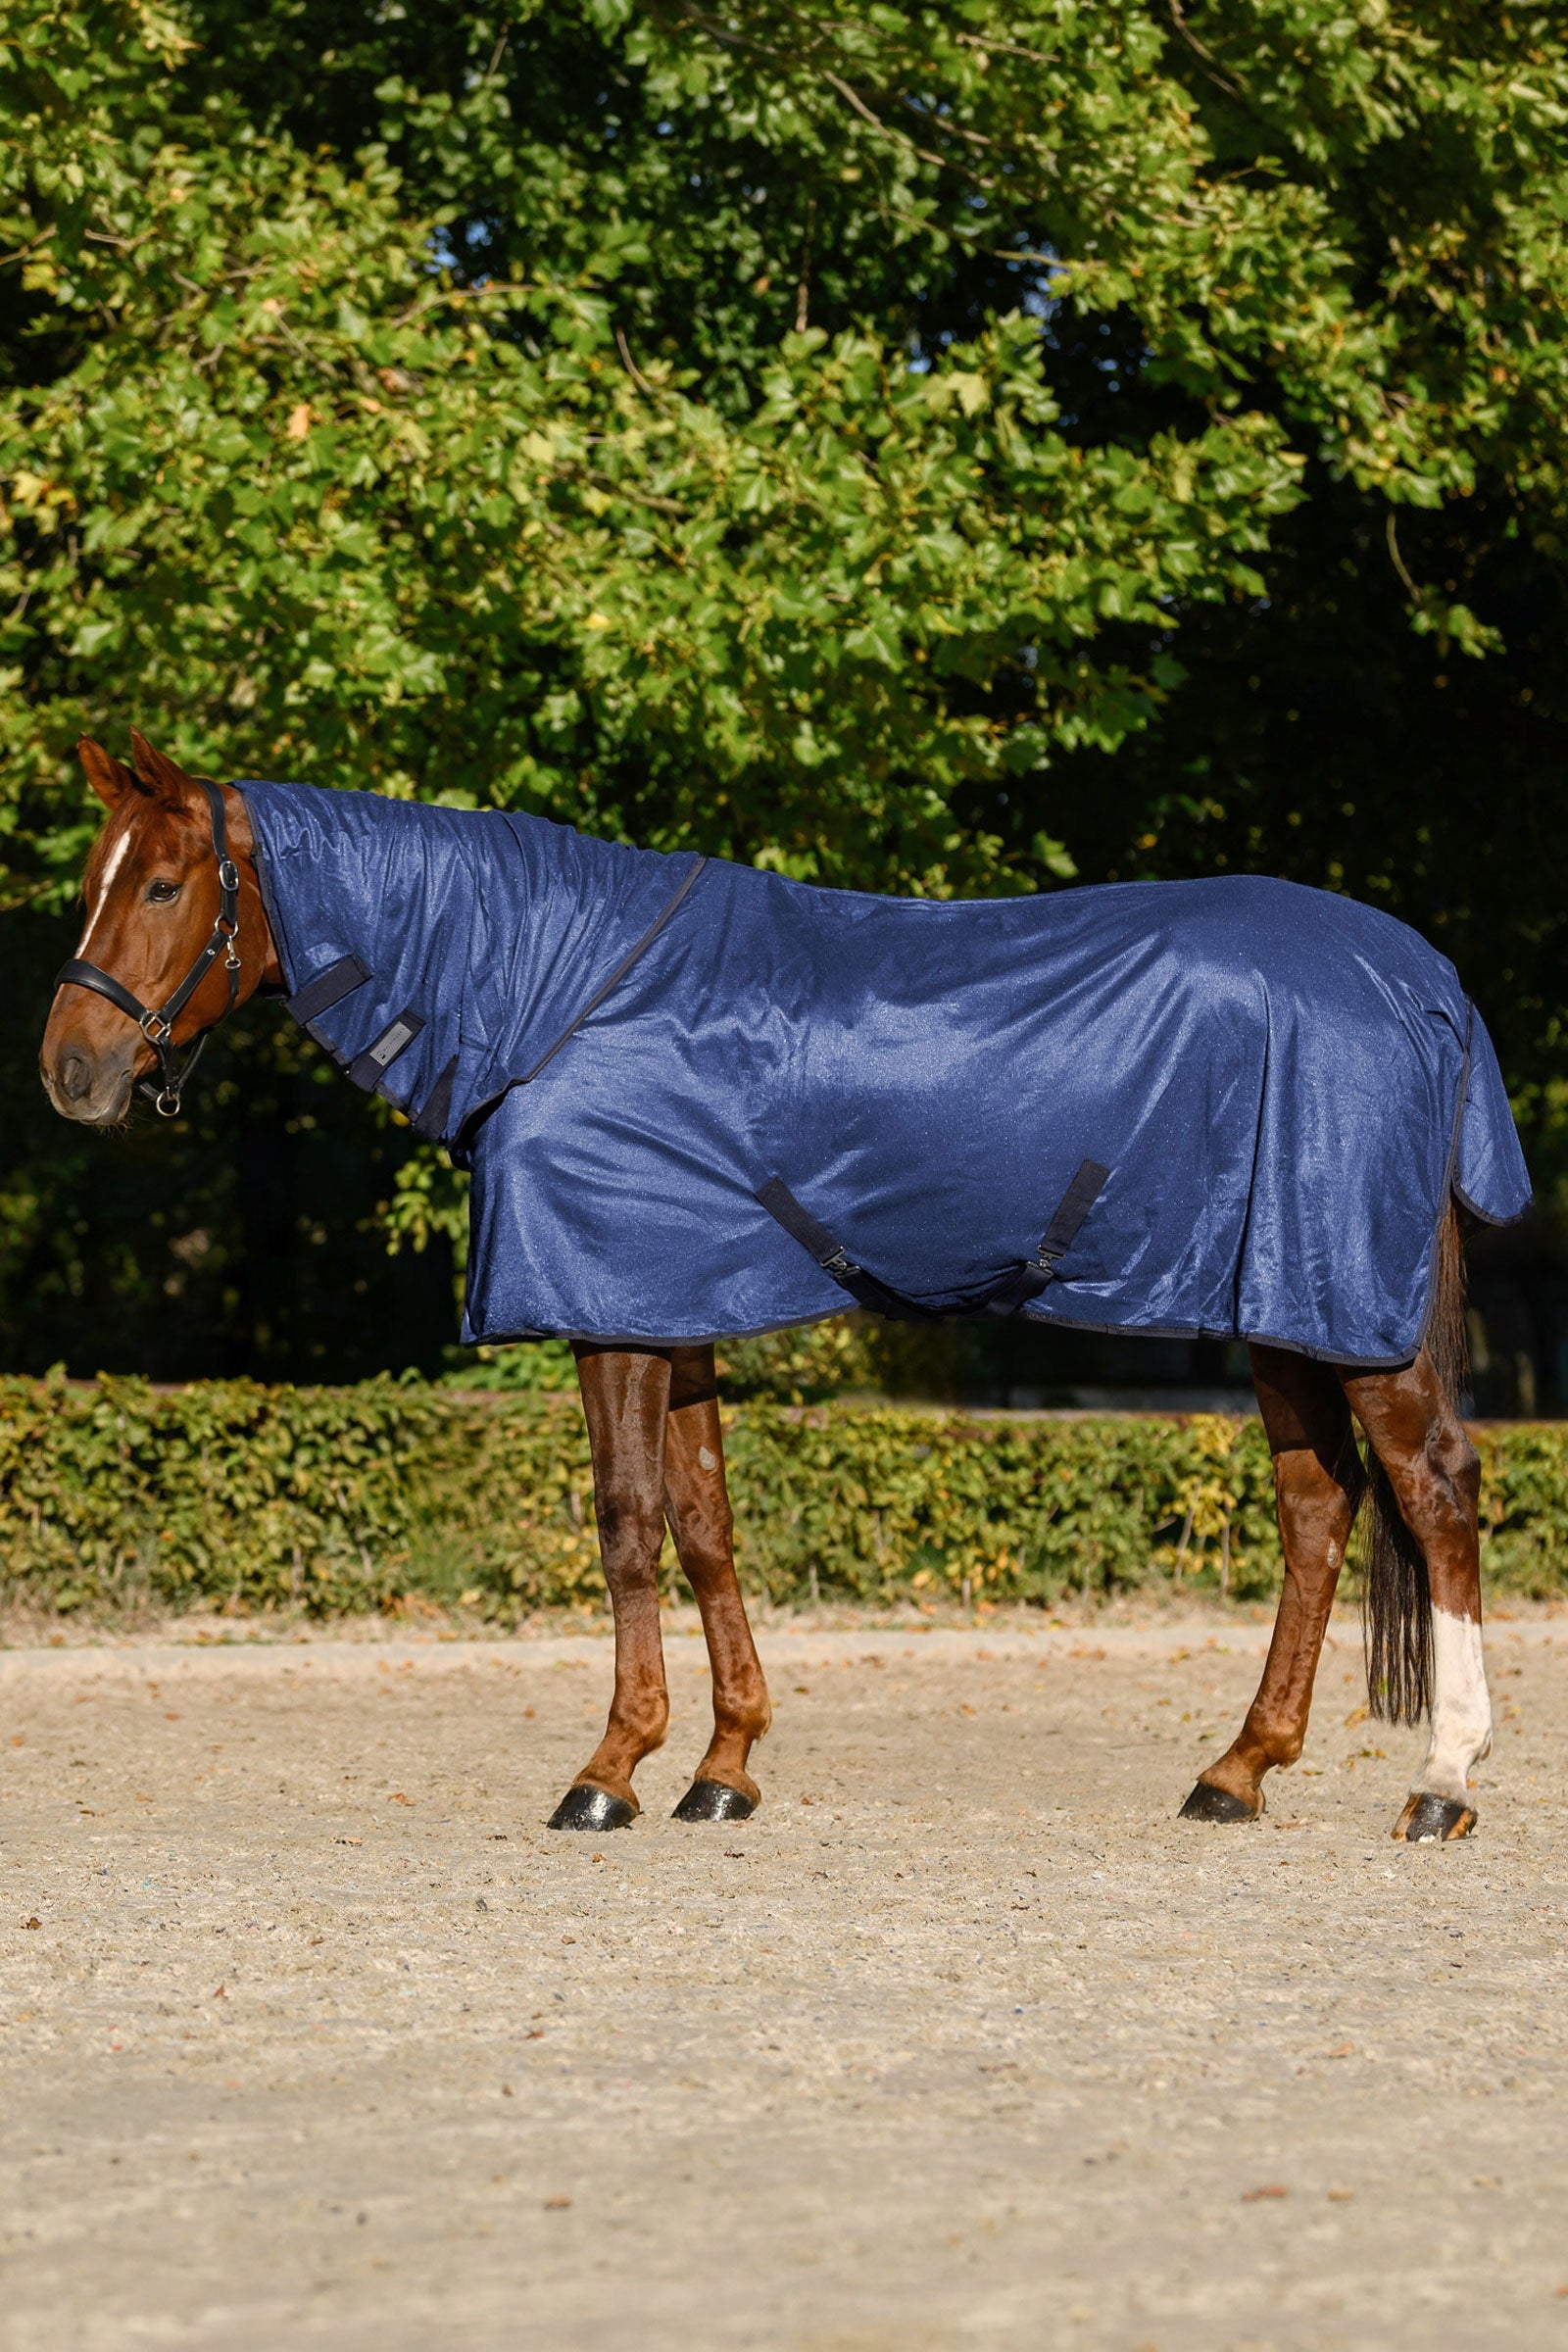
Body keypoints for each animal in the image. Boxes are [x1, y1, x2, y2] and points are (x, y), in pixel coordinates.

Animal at [40, 731, 1525, 1845]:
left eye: (163, 885)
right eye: (97, 878)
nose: (71, 1072)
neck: (559, 994)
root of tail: (1423, 978)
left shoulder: (611, 1306)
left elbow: (626, 1525)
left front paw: (609, 1771)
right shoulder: (671, 1306)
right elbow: (706, 1525)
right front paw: (724, 1766)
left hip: (1345, 1309)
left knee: (1436, 1494)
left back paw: (1440, 1782)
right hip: (1280, 1307)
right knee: (1319, 1511)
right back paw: (1237, 1771)